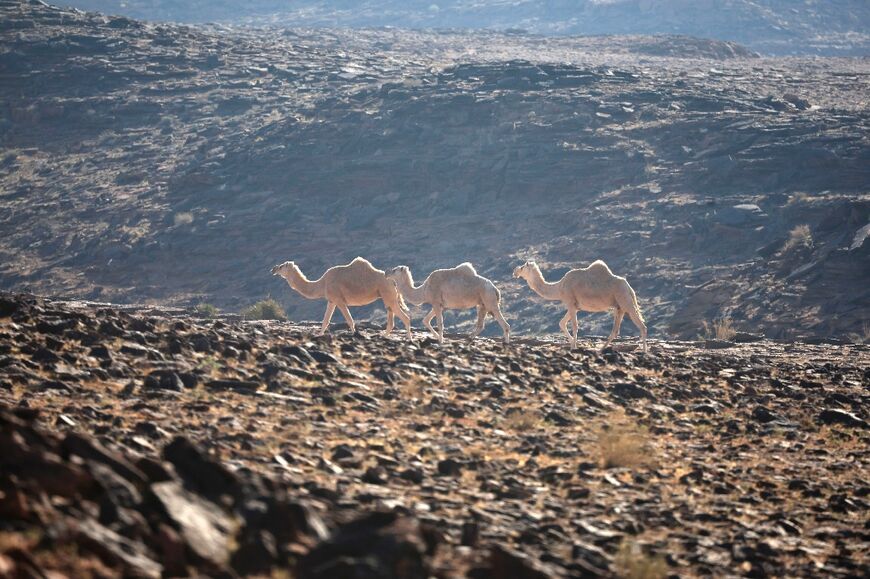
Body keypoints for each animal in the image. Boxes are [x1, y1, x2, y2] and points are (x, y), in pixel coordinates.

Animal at [271, 257, 411, 338]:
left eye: (282, 266)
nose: (273, 268)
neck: (322, 283)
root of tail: (393, 281)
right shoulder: (331, 301)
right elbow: (325, 321)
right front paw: (319, 335)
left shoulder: (339, 300)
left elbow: (349, 320)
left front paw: (355, 334)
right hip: (387, 298)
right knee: (391, 320)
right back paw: (385, 336)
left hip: (388, 295)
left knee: (405, 317)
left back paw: (408, 339)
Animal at [513, 259, 647, 351]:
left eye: (522, 267)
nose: (515, 271)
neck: (559, 287)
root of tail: (629, 287)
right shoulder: (575, 306)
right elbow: (561, 323)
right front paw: (573, 343)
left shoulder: (570, 302)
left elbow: (575, 326)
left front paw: (574, 346)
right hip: (619, 307)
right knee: (615, 330)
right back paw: (601, 349)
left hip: (625, 300)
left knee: (642, 326)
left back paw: (644, 351)